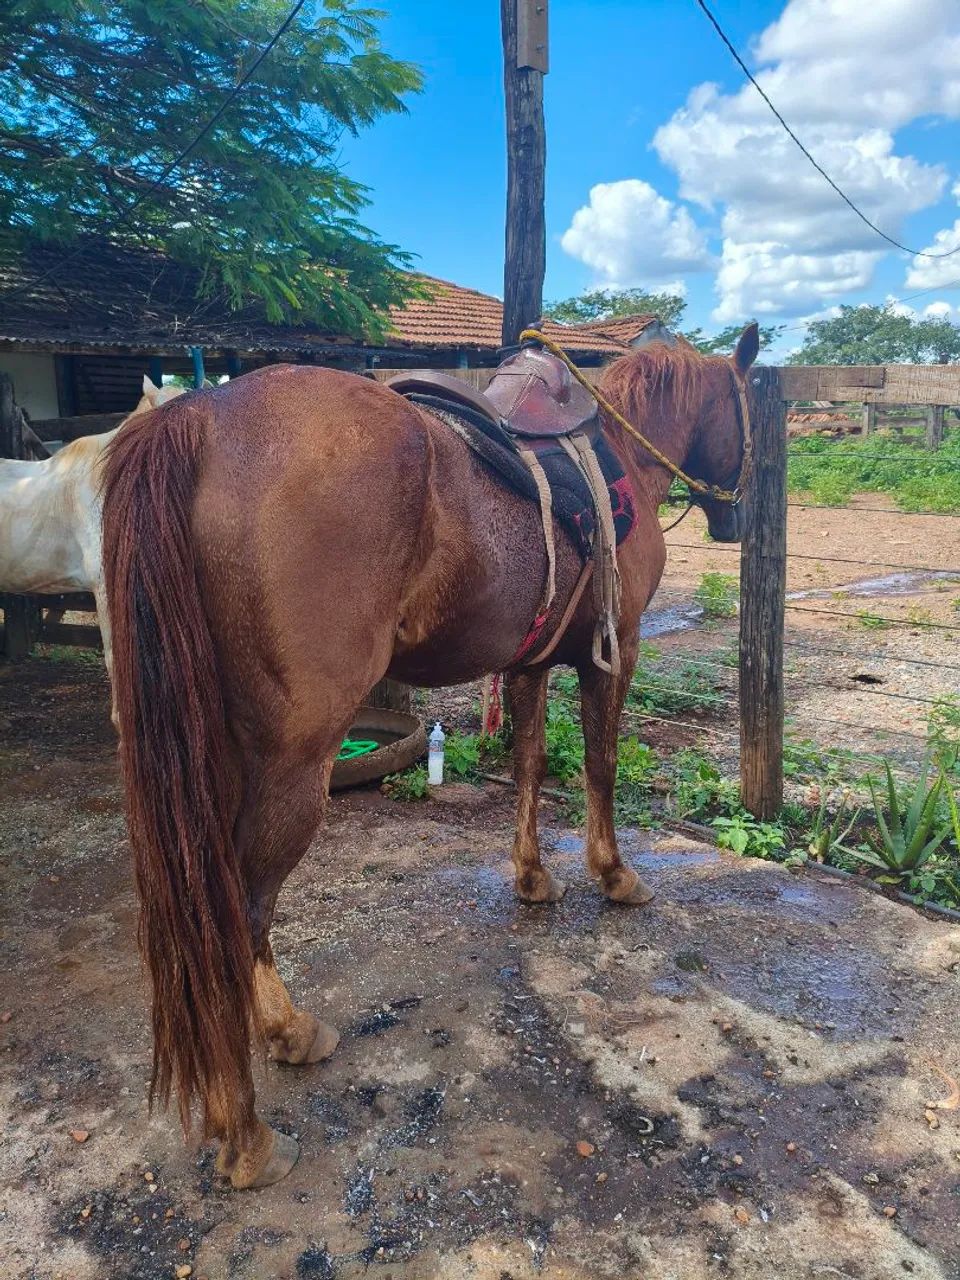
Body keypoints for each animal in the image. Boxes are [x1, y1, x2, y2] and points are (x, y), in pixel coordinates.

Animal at [101, 325, 759, 1189]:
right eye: (755, 414)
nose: (738, 514)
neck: (615, 451)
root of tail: (199, 416)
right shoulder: (614, 653)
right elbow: (601, 767)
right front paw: (614, 875)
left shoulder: (529, 664)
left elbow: (530, 763)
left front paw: (533, 877)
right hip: (291, 762)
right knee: (240, 913)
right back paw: (246, 1130)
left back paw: (284, 1035)